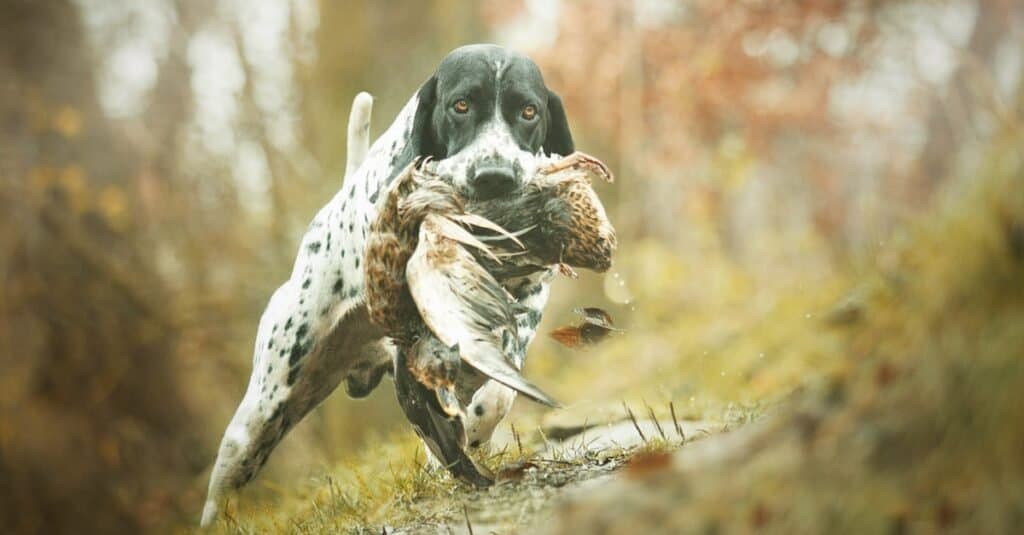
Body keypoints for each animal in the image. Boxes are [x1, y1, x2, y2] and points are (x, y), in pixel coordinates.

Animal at [197, 42, 569, 524]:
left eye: (528, 111)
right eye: (461, 105)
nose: (494, 176)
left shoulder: (527, 299)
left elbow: (497, 392)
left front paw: (474, 422)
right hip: (260, 414)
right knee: (220, 491)